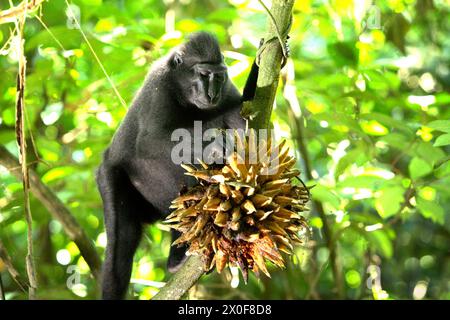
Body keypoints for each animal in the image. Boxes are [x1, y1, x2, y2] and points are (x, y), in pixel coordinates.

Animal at [97, 31, 260, 298]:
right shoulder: (159, 87)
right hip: (109, 175)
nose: (211, 94)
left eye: (218, 76)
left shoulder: (226, 89)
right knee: (121, 244)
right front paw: (217, 143)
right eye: (203, 75)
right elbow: (151, 141)